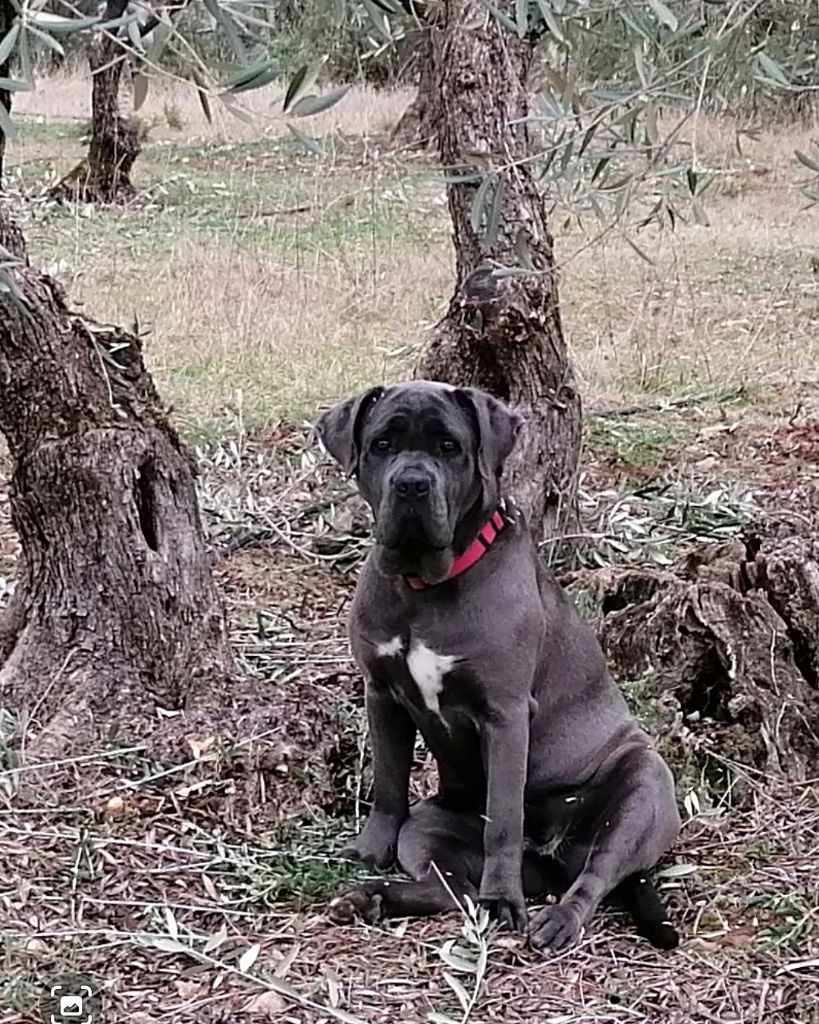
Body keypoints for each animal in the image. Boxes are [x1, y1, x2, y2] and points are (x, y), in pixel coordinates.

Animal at [316, 381, 680, 951]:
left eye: (450, 447)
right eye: (381, 444)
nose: (412, 484)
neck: (425, 586)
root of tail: (550, 859)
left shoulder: (504, 715)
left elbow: (504, 818)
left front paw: (503, 899)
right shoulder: (381, 694)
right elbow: (389, 783)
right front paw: (369, 851)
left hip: (644, 789)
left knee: (595, 876)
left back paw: (556, 920)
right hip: (429, 824)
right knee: (453, 888)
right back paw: (371, 896)